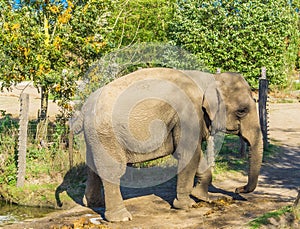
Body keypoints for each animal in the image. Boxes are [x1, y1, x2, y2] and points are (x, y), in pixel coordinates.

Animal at [71, 67, 262, 221]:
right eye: (242, 111)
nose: (238, 189)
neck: (211, 79)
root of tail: (84, 108)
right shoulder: (188, 115)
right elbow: (188, 154)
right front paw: (187, 205)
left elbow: (195, 155)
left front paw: (202, 197)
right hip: (106, 133)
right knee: (112, 170)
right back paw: (121, 218)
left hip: (95, 136)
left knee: (92, 166)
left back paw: (92, 204)